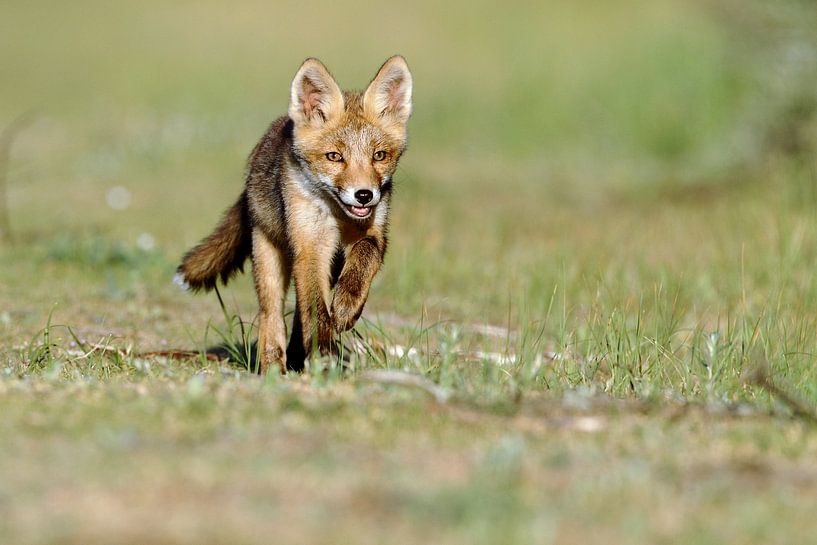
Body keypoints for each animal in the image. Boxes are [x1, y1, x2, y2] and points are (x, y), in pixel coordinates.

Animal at [175, 56, 412, 374]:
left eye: (379, 156)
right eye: (334, 157)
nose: (364, 194)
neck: (337, 215)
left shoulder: (372, 231)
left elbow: (364, 257)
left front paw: (347, 307)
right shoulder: (310, 246)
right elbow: (316, 309)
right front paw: (324, 351)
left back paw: (299, 354)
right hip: (270, 264)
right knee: (271, 316)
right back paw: (274, 367)